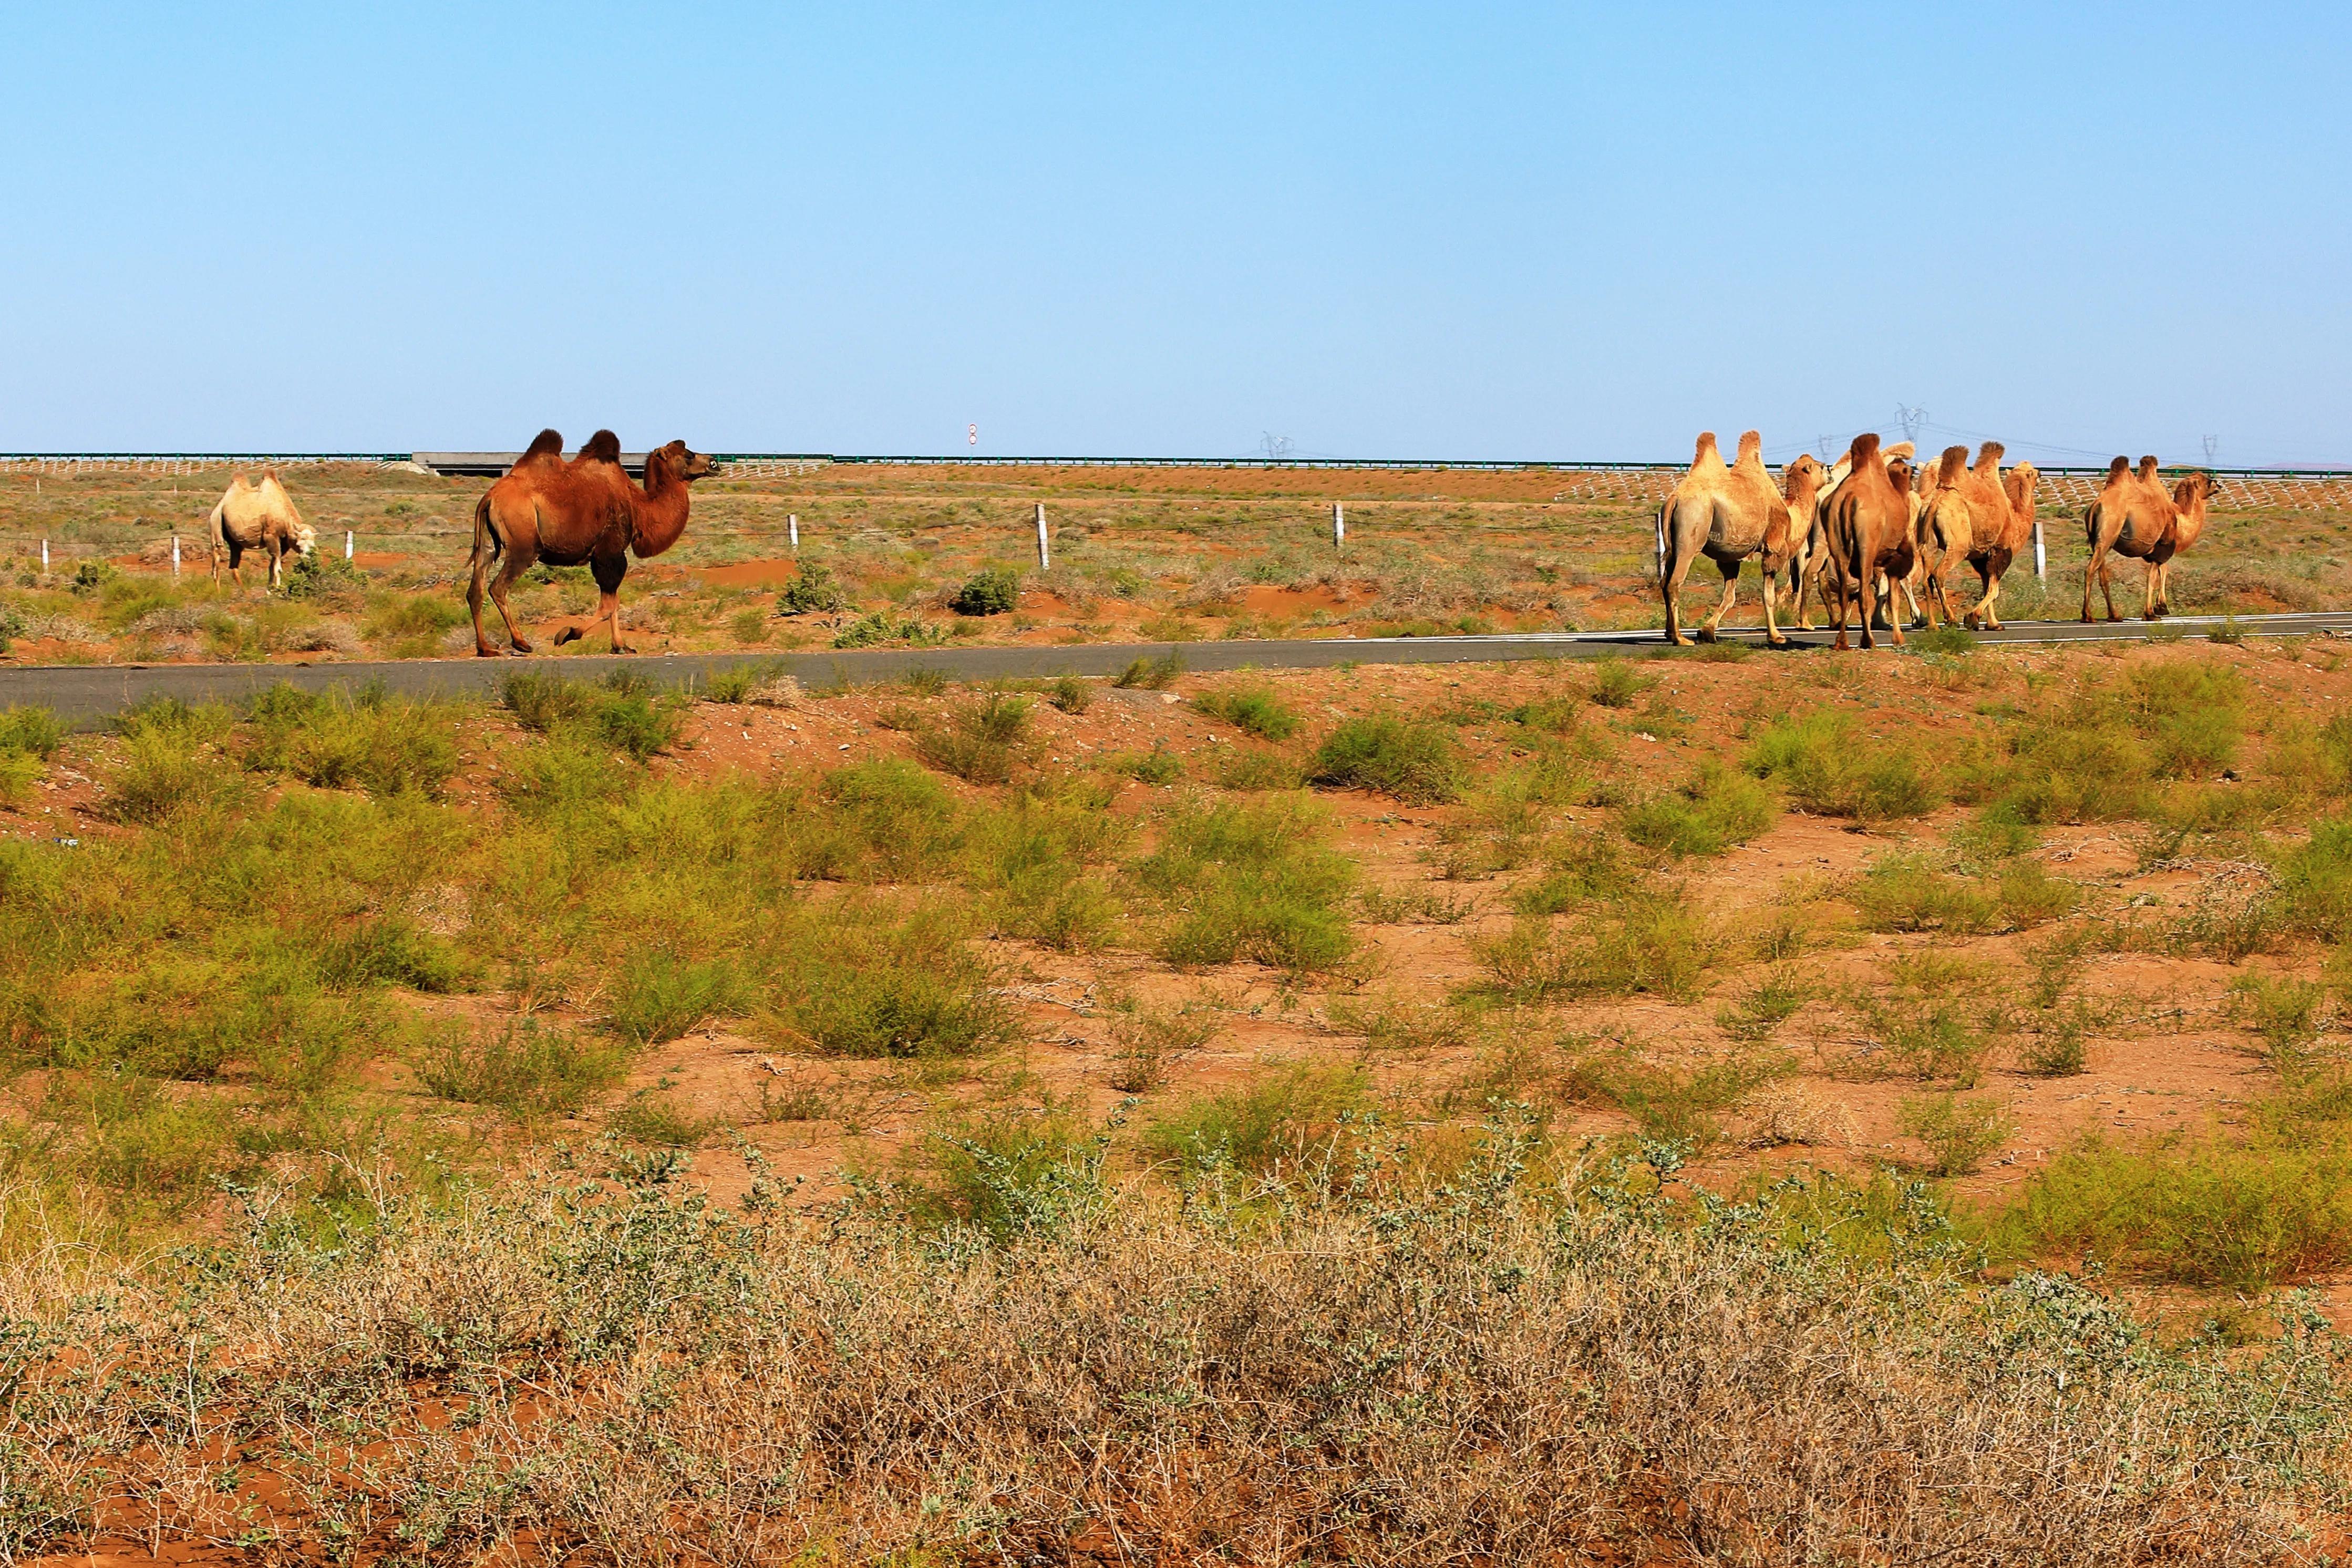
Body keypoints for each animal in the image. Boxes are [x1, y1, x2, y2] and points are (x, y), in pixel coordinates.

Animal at [207, 474, 317, 592]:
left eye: (312, 546)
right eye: (299, 545)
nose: (307, 560)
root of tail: (219, 506)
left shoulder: (284, 543)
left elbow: (271, 568)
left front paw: (269, 592)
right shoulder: (271, 536)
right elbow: (278, 569)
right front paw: (278, 591)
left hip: (235, 542)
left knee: (234, 564)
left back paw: (245, 593)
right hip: (216, 522)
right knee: (217, 557)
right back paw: (219, 593)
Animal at [463, 430, 710, 658]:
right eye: (688, 456)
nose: (713, 463)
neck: (638, 506)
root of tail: (490, 498)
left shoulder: (608, 554)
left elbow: (614, 602)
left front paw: (622, 646)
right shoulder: (610, 551)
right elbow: (609, 605)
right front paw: (567, 634)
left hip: (488, 543)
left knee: (476, 589)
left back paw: (485, 648)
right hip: (523, 546)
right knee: (498, 587)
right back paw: (521, 643)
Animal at [1656, 430, 1797, 644]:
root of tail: (1674, 499)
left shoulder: (1731, 556)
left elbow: (1731, 595)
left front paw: (1707, 631)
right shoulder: (1773, 546)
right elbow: (1768, 595)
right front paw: (1776, 636)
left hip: (1673, 545)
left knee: (1664, 582)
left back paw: (1670, 633)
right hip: (1690, 536)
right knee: (1674, 583)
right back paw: (1681, 639)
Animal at [1815, 435, 1910, 648]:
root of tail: (1849, 498)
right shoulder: (1894, 559)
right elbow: (1893, 598)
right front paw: (1899, 639)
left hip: (1837, 542)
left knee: (1844, 592)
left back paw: (1841, 642)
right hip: (1867, 545)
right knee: (1864, 595)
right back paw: (1868, 641)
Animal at [2088, 453, 2192, 621]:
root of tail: (2097, 505)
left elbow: (2159, 572)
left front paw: (2158, 608)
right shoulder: (2163, 544)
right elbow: (2155, 575)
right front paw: (2155, 611)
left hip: (2097, 540)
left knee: (2101, 572)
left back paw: (2113, 615)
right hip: (2107, 535)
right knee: (2091, 568)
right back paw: (2088, 615)